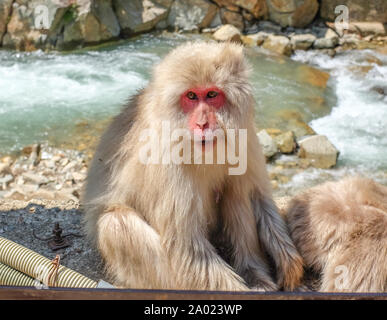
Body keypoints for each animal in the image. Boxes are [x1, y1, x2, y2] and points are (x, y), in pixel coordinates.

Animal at [83, 41, 304, 292]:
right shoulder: (166, 160)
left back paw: (255, 274)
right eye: (191, 96)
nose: (202, 123)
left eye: (211, 95)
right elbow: (186, 247)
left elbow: (259, 196)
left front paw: (287, 259)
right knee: (116, 223)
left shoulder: (245, 136)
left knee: (237, 190)